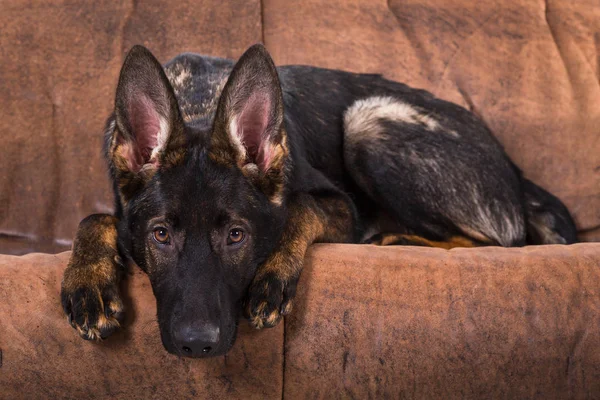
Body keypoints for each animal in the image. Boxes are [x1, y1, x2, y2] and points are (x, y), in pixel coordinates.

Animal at [59, 44, 576, 360]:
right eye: (161, 235)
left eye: (237, 236)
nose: (196, 345)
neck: (200, 108)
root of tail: (517, 173)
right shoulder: (120, 209)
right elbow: (94, 218)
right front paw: (87, 282)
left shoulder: (341, 207)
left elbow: (300, 209)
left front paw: (273, 277)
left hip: (368, 123)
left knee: (497, 243)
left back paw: (395, 240)